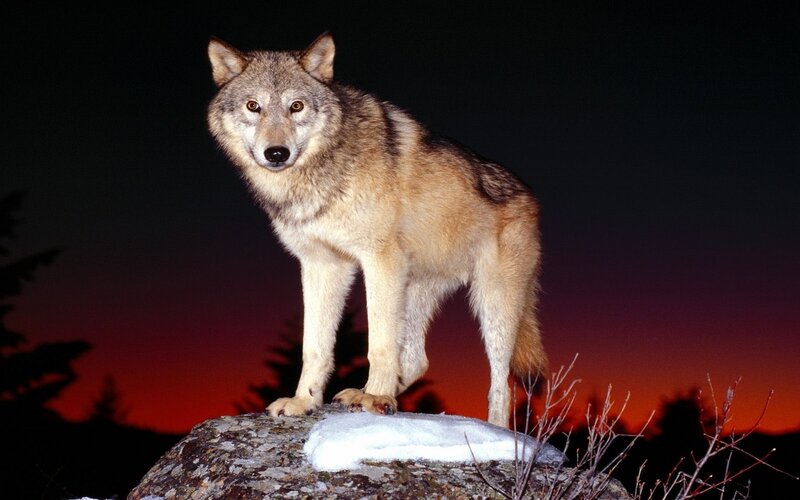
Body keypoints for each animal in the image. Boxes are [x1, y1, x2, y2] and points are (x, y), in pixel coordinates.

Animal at [207, 33, 548, 428]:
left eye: (296, 106)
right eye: (253, 106)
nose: (276, 153)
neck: (324, 169)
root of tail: (530, 196)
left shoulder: (379, 260)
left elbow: (379, 343)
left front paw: (377, 397)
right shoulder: (322, 265)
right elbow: (314, 347)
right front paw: (304, 401)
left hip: (493, 304)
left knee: (500, 385)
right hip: (413, 290)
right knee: (417, 360)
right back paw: (366, 394)